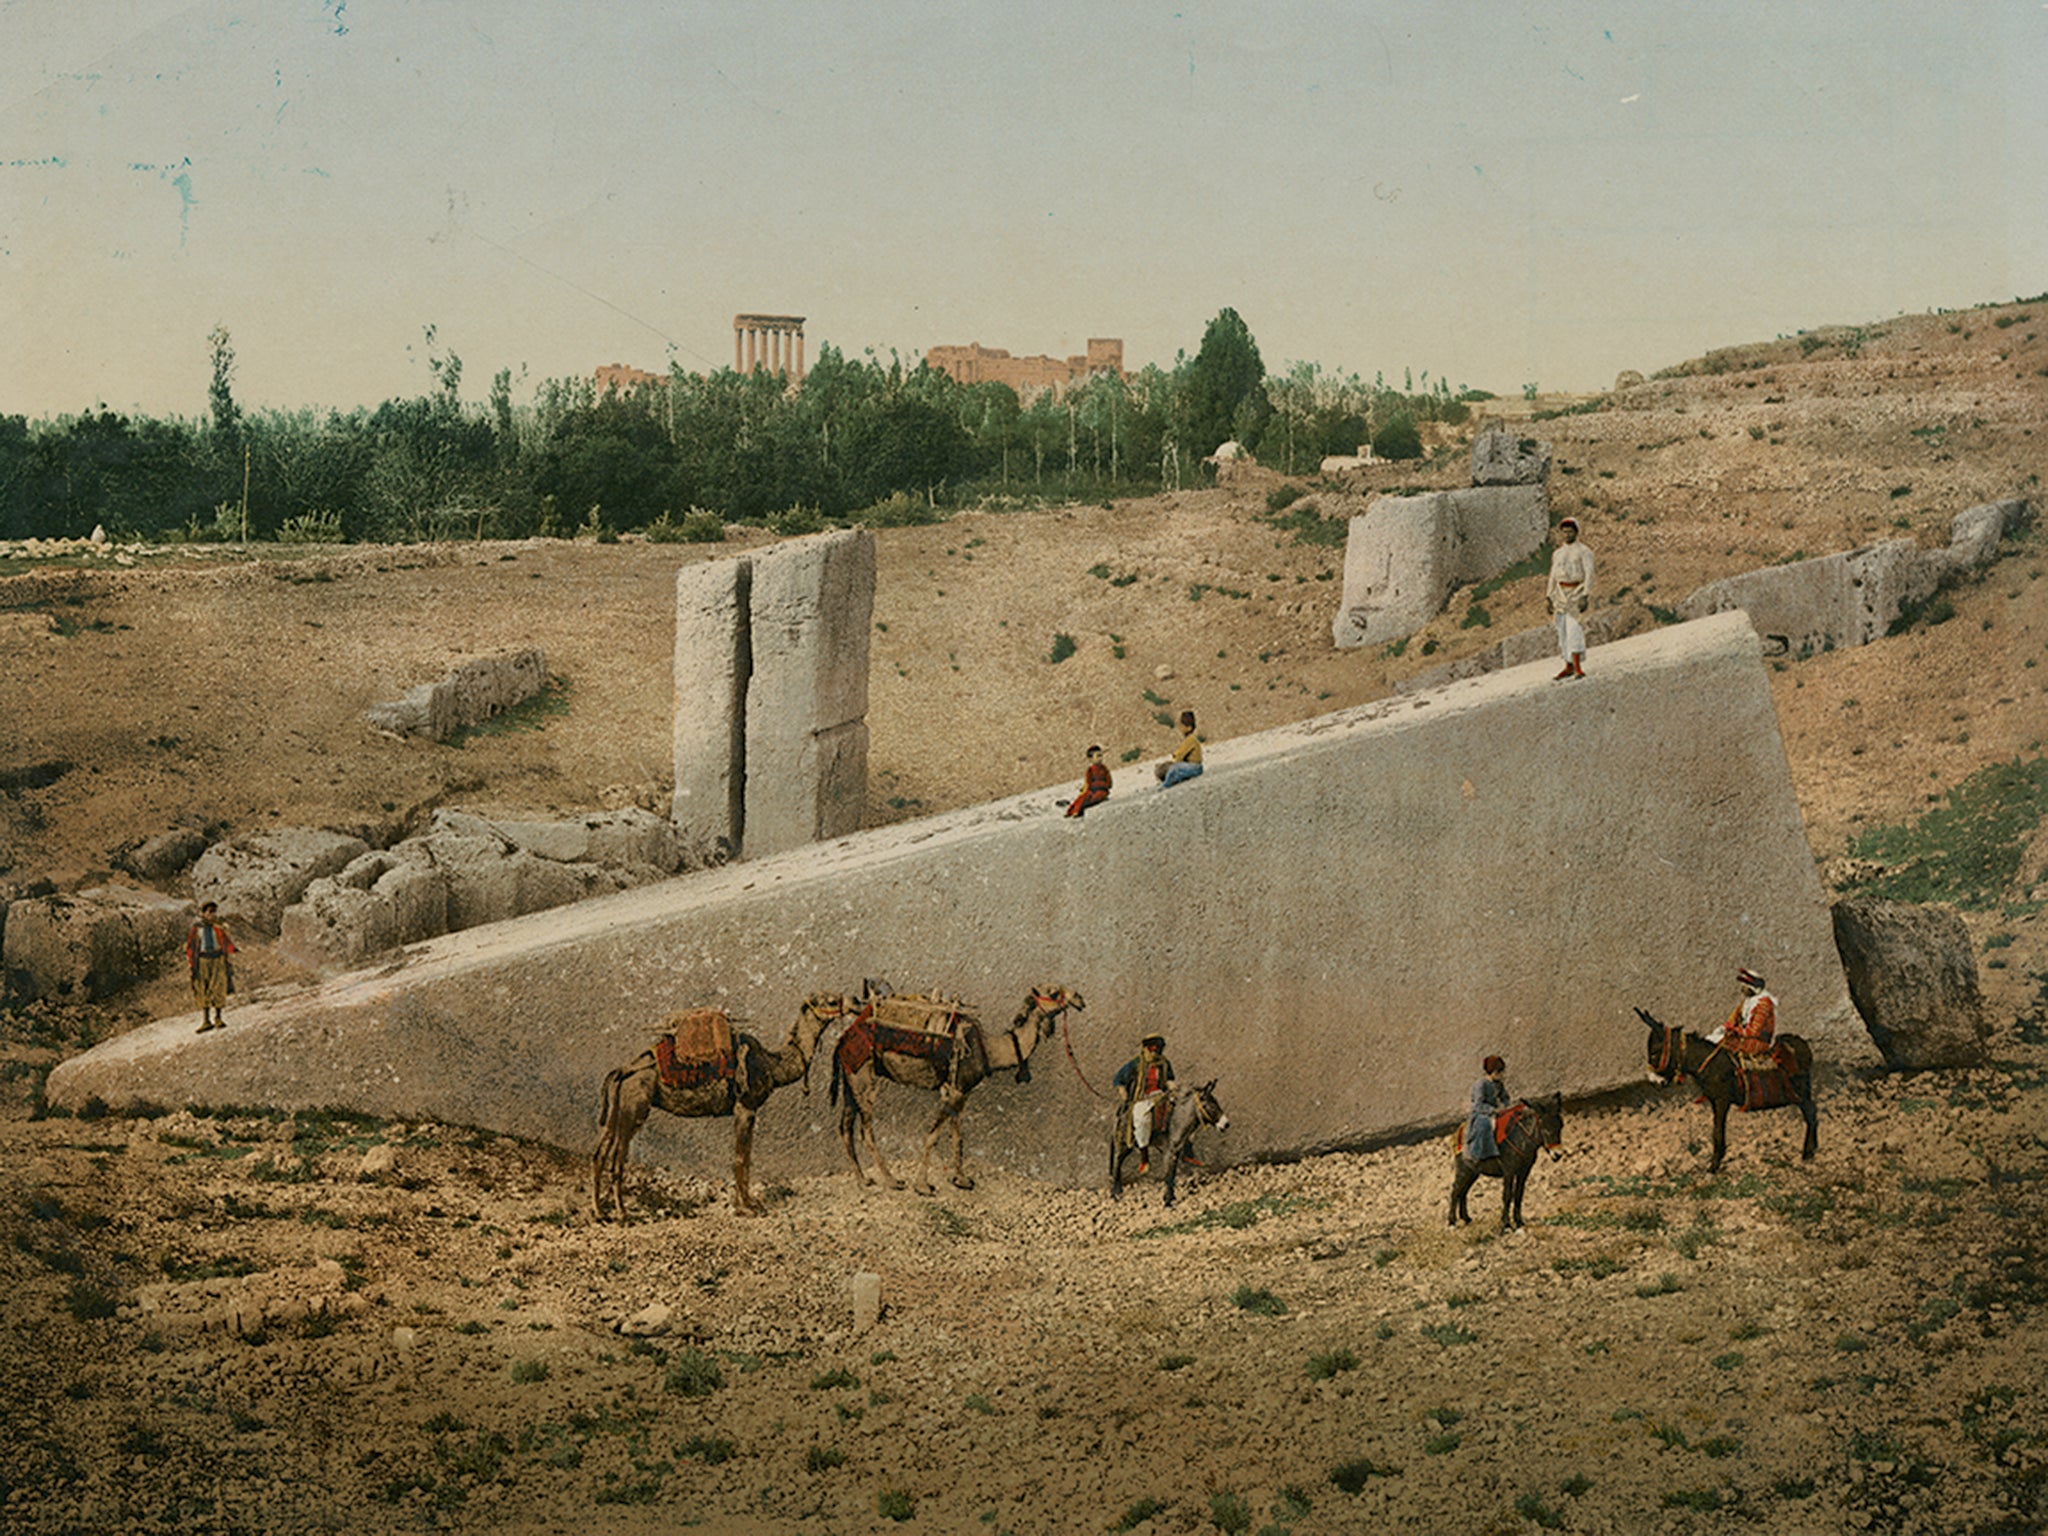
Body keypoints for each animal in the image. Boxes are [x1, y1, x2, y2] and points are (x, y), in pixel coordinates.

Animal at [589, 999, 851, 1228]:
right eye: (829, 1000)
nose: (852, 1003)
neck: (772, 1065)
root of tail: (622, 1070)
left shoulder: (747, 1110)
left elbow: (744, 1157)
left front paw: (744, 1204)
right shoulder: (745, 1106)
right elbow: (740, 1158)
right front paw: (747, 1208)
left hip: (617, 1109)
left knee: (600, 1152)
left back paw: (600, 1213)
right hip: (634, 1108)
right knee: (618, 1158)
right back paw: (623, 1214)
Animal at [831, 987, 1089, 1204]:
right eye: (1054, 992)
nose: (1079, 999)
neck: (988, 1051)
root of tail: (842, 1039)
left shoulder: (960, 1092)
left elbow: (957, 1136)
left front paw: (961, 1180)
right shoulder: (955, 1092)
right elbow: (933, 1136)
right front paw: (923, 1186)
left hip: (851, 1082)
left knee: (845, 1127)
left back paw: (863, 1179)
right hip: (864, 1078)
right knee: (865, 1131)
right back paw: (893, 1181)